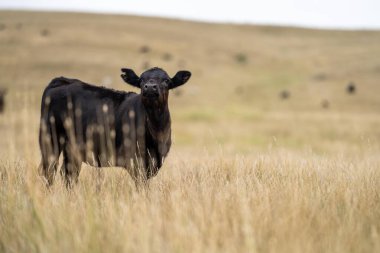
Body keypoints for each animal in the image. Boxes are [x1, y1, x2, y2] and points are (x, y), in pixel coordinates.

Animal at [39, 67, 190, 186]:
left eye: (166, 81)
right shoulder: (135, 162)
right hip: (49, 140)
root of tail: (62, 80)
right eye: (141, 80)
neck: (156, 131)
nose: (150, 87)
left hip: (71, 148)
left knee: (68, 174)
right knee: (49, 172)